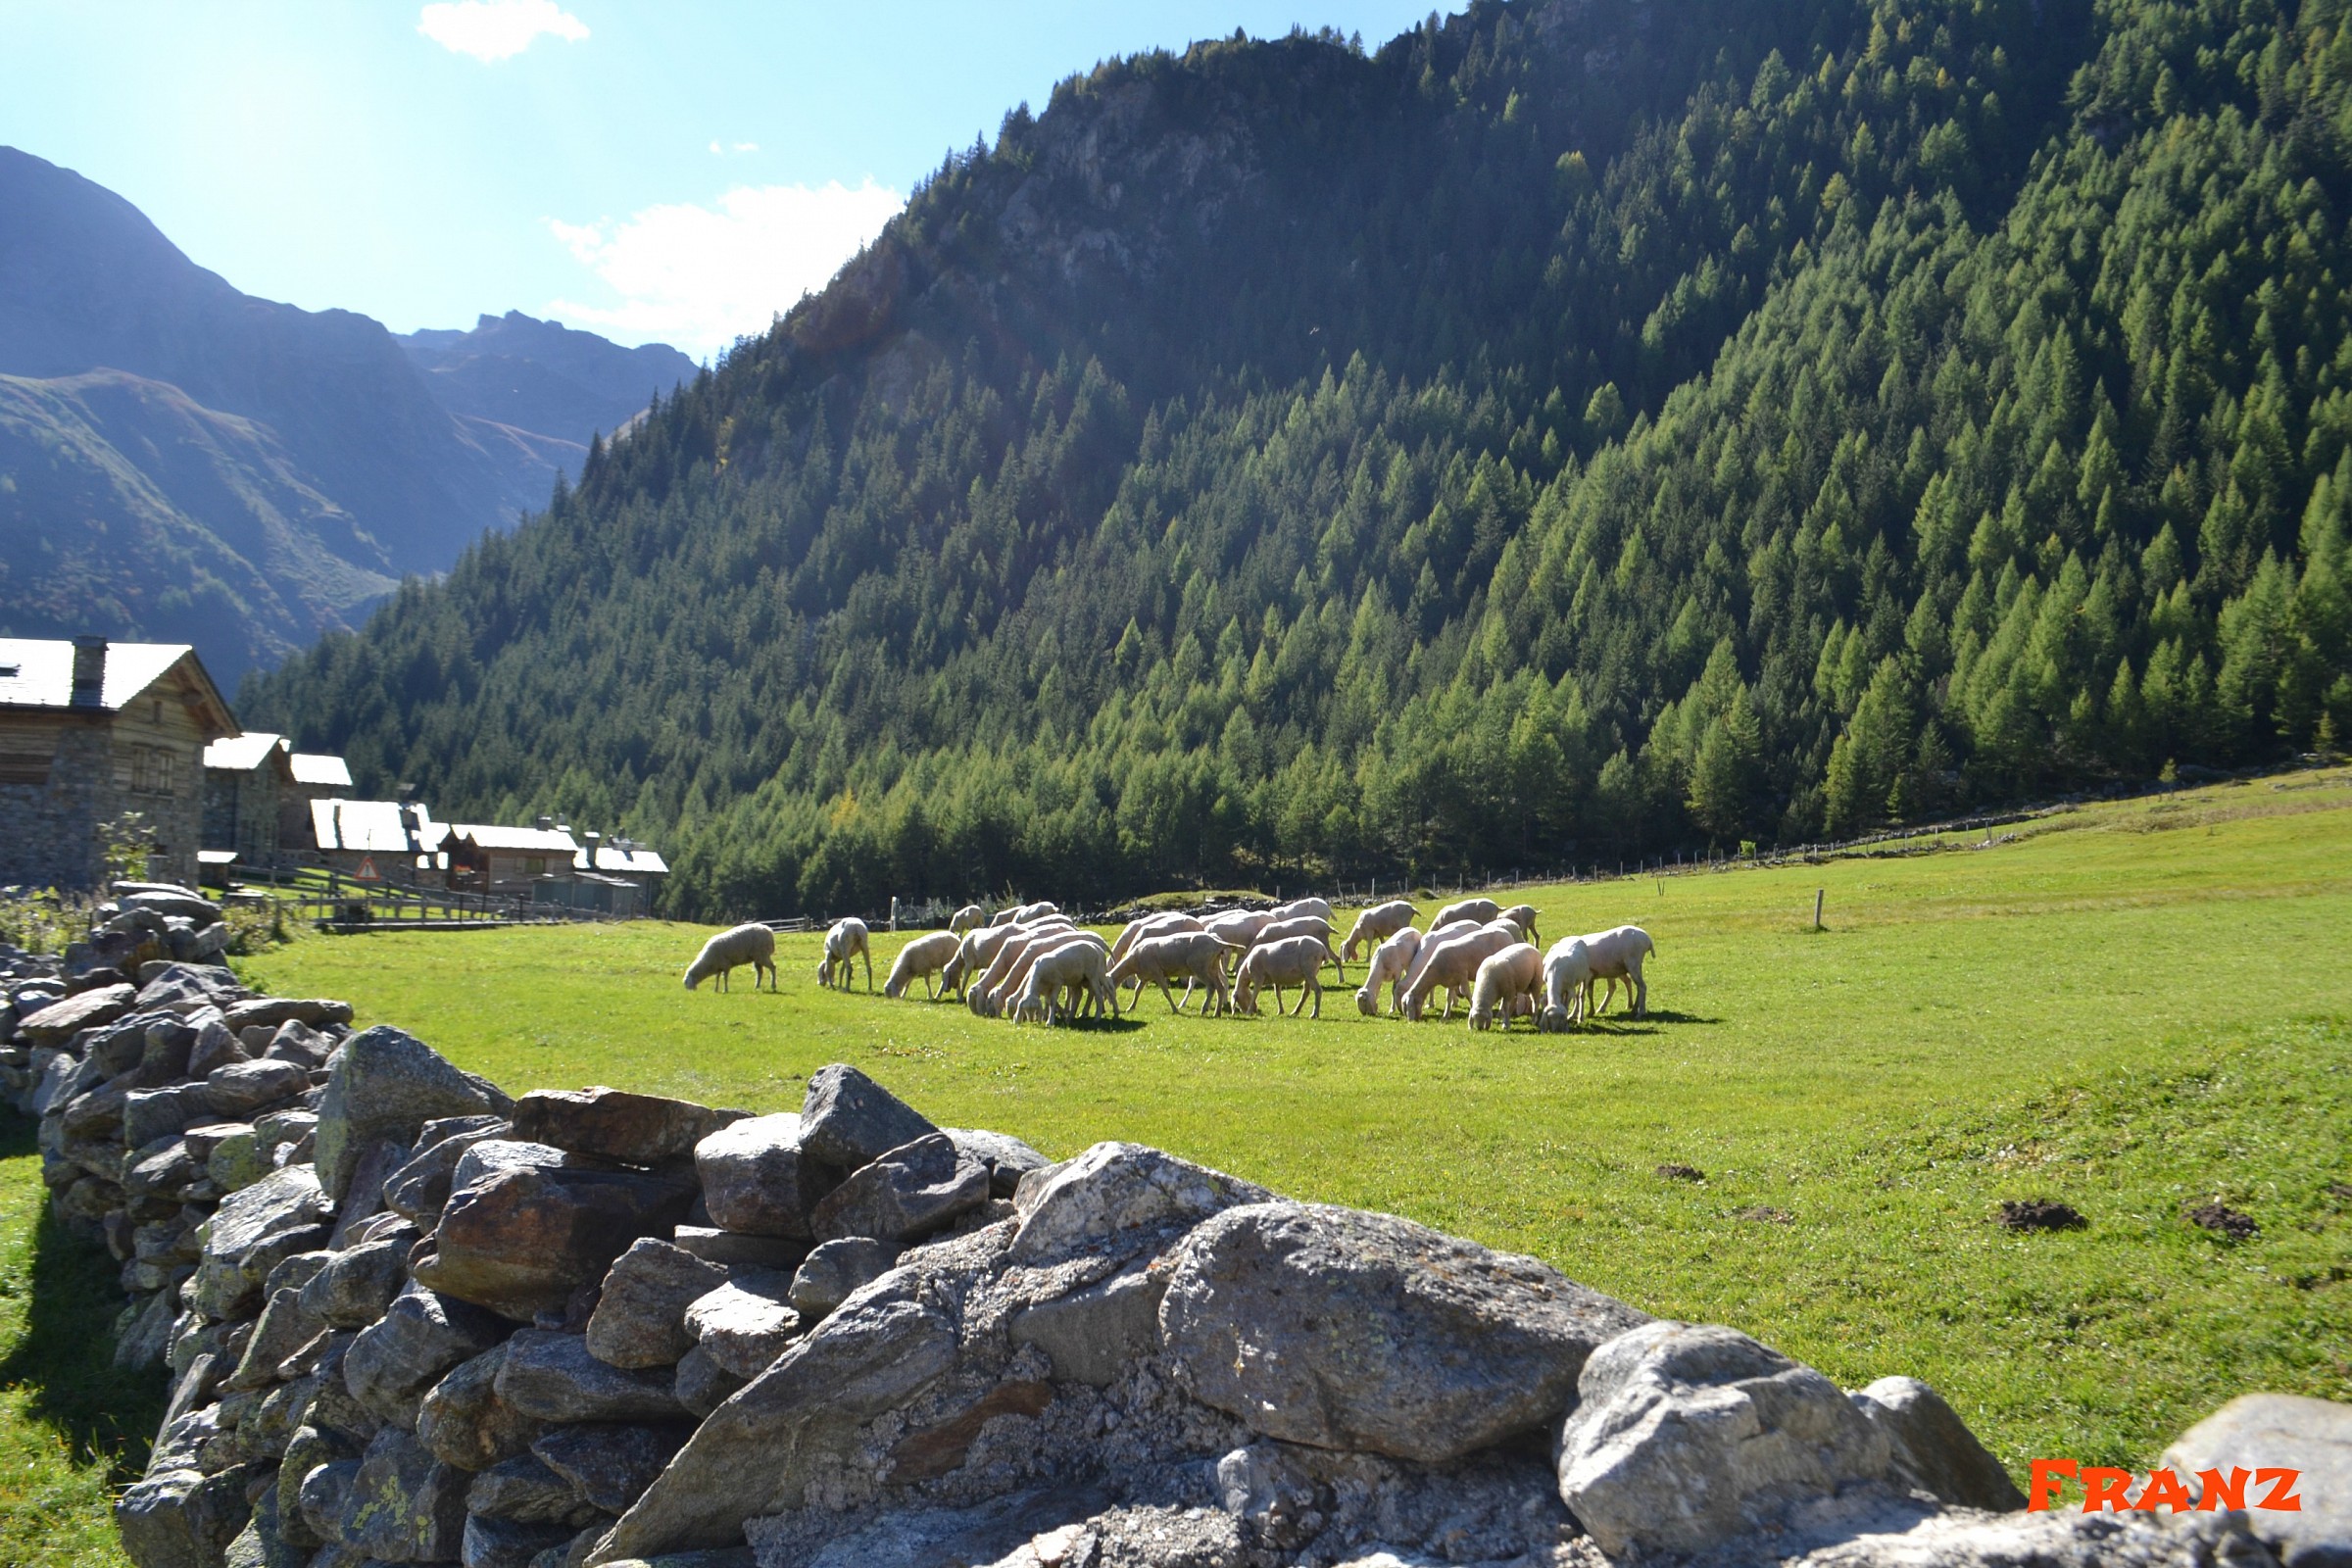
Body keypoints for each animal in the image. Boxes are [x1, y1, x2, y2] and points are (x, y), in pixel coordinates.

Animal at [1108, 931, 1244, 1016]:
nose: (1109, 1004)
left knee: (1212, 986)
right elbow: (1137, 992)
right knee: (1220, 987)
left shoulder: (1157, 973)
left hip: (1200, 967)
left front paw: (1175, 1010)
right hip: (1213, 966)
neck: (1133, 962)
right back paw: (1217, 1013)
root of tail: (1217, 943)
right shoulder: (1145, 976)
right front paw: (1131, 1008)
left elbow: (1166, 992)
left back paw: (1205, 1009)